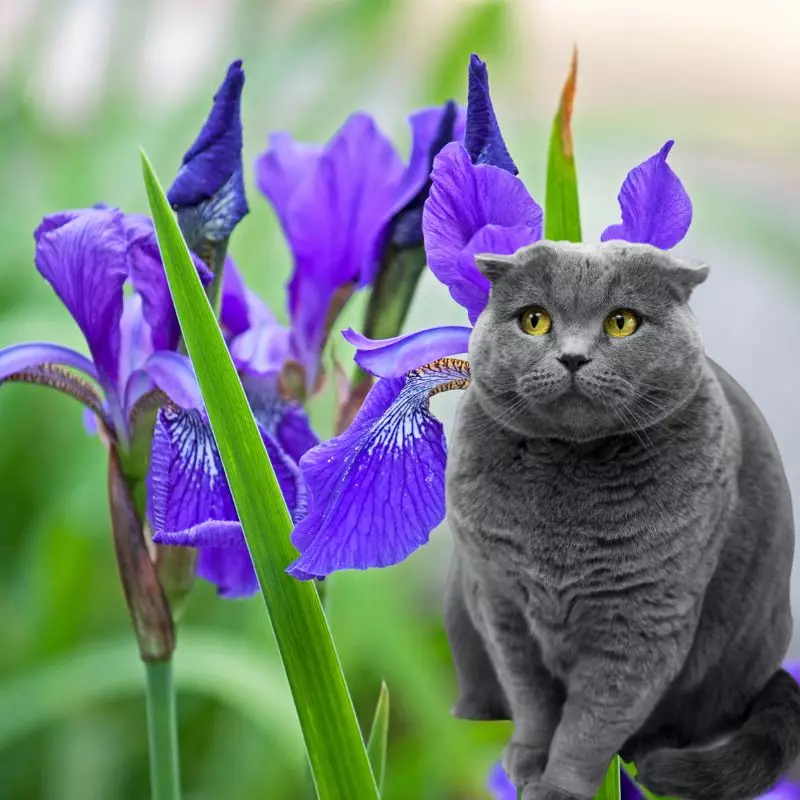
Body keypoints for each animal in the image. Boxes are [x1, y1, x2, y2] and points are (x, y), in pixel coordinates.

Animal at [444, 242, 800, 800]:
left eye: (621, 322)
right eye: (534, 320)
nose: (572, 356)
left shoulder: (642, 620)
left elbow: (591, 722)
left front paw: (559, 787)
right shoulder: (501, 605)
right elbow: (531, 700)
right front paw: (527, 760)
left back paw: (648, 753)